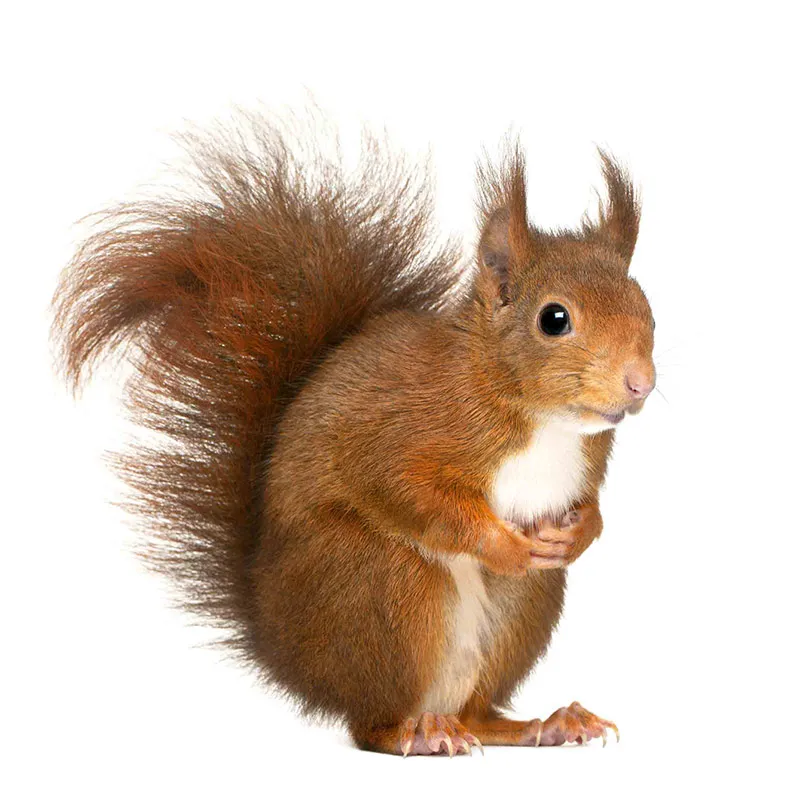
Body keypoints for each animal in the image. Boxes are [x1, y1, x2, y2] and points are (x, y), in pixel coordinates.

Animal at [52, 113, 655, 757]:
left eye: (647, 307)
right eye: (554, 319)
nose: (640, 383)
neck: (536, 414)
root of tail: (284, 648)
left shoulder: (587, 461)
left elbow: (588, 505)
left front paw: (580, 533)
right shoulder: (402, 432)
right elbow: (405, 489)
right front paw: (506, 545)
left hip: (522, 604)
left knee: (478, 713)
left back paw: (546, 723)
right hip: (383, 584)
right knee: (371, 724)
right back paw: (418, 734)